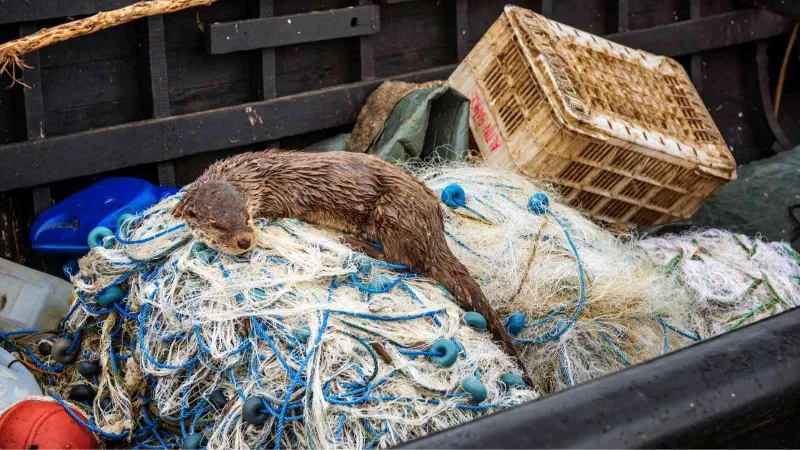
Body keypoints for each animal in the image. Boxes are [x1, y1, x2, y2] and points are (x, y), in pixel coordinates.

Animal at [172, 151, 528, 384]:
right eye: (219, 225)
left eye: (246, 217)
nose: (245, 241)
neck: (253, 176)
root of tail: (434, 227)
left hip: (393, 210)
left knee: (404, 260)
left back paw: (355, 243)